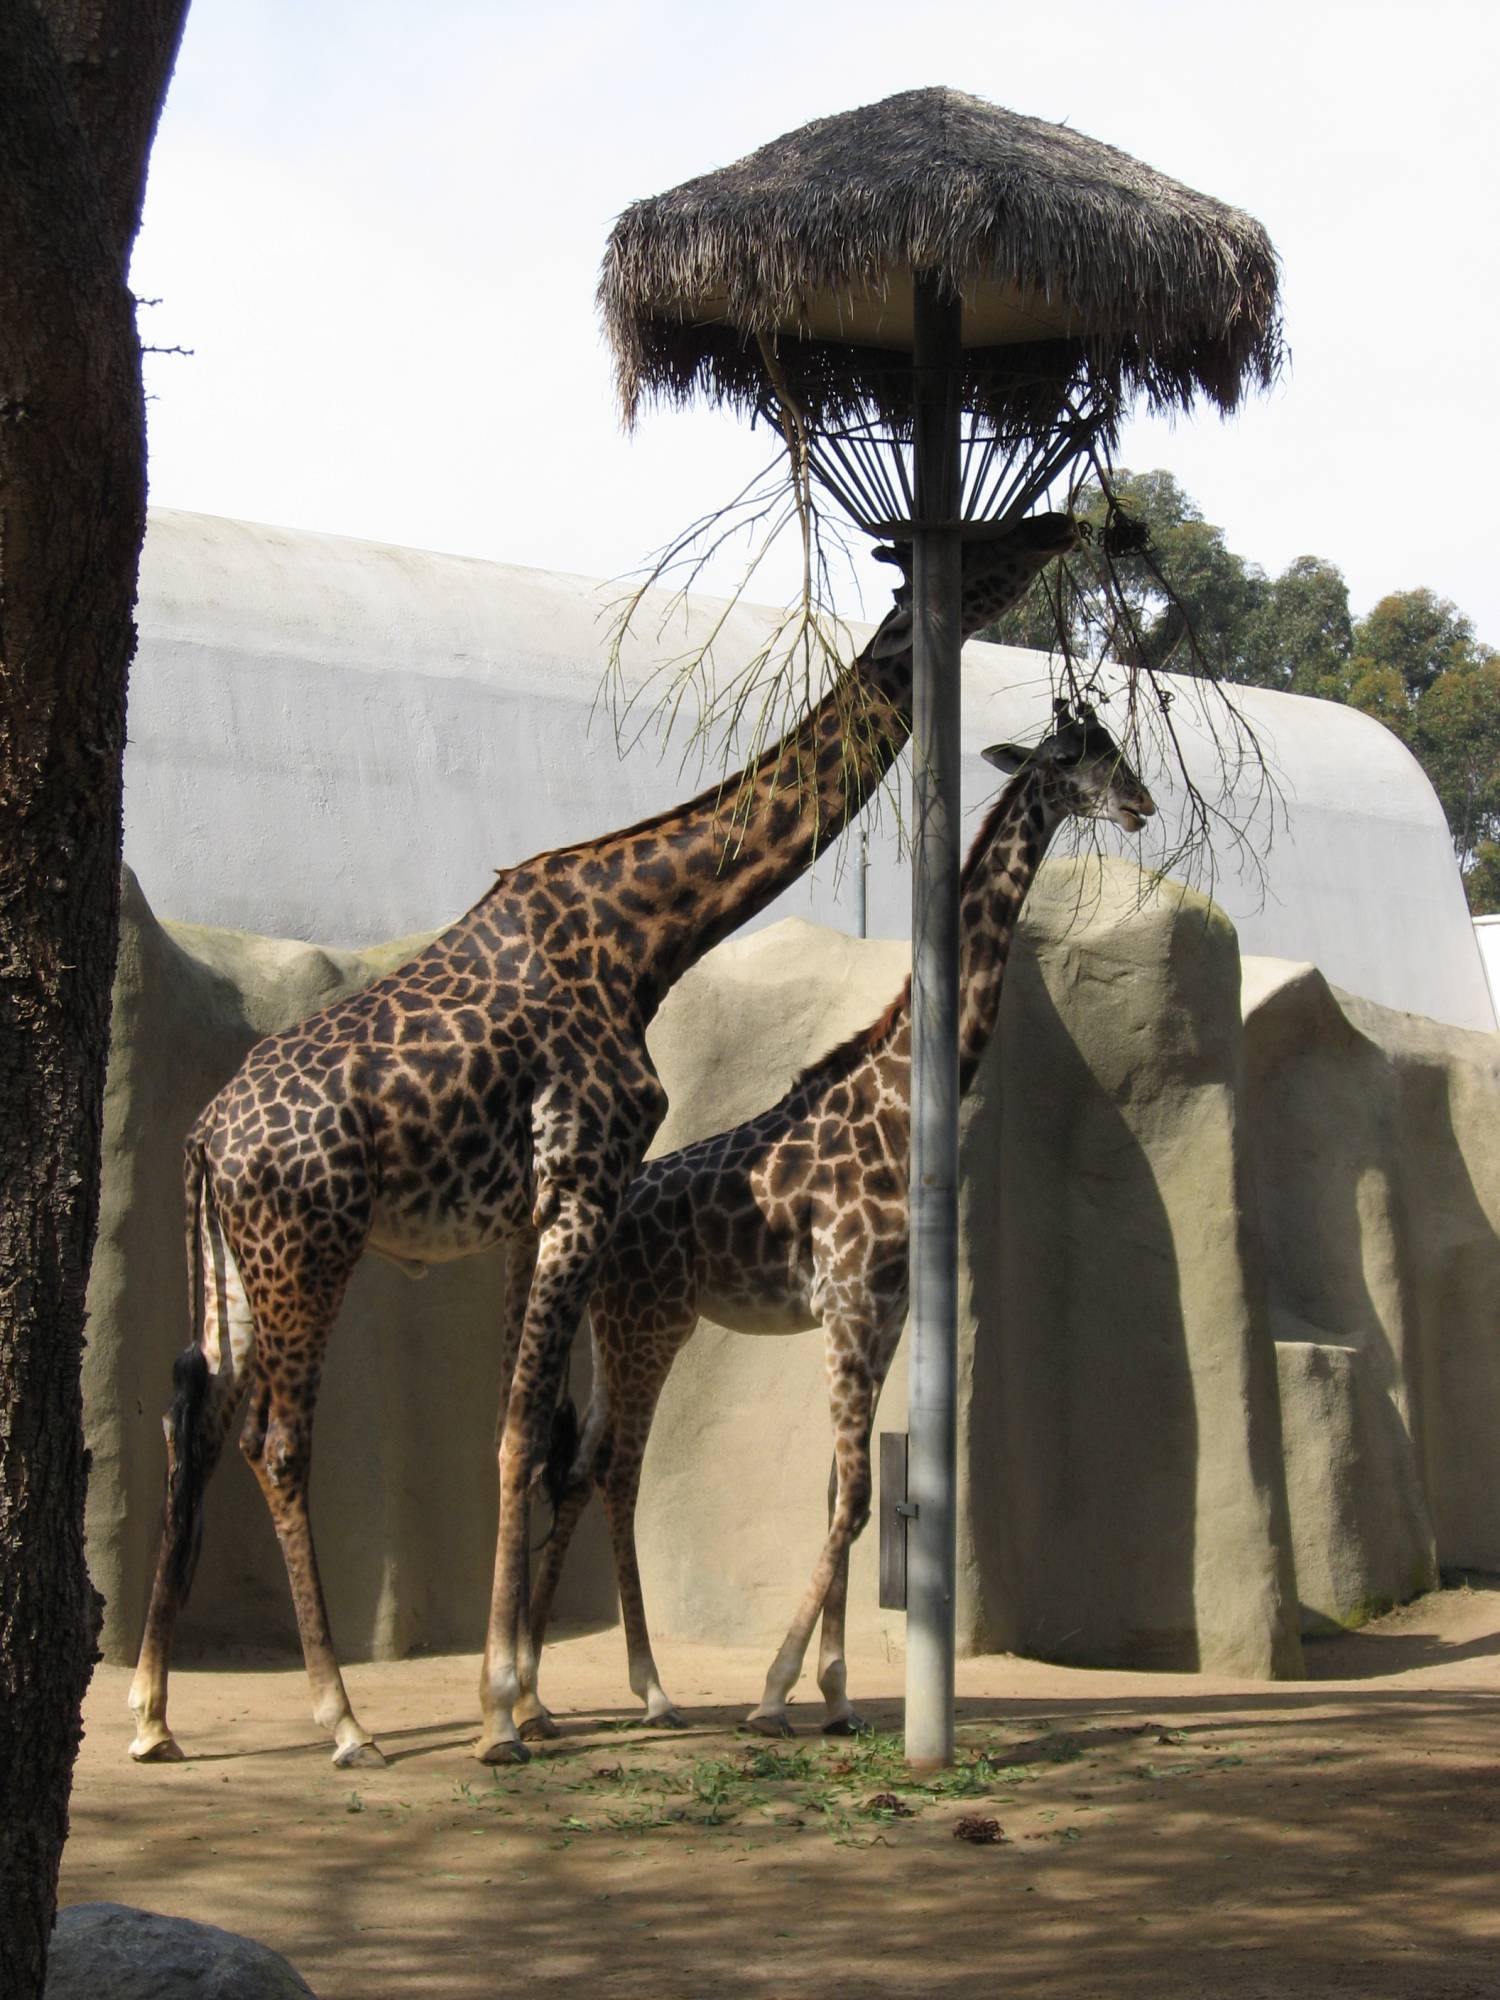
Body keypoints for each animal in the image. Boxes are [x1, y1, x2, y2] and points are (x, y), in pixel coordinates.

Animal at [123, 504, 1072, 1768]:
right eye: (985, 539)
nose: (1071, 524)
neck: (645, 934)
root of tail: (202, 1137)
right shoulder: (581, 1174)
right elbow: (529, 1432)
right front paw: (498, 1712)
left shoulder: (540, 1207)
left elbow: (536, 1428)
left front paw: (532, 1697)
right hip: (307, 1247)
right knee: (277, 1439)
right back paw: (342, 1717)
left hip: (231, 1258)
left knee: (194, 1420)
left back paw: (151, 1711)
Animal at [524, 708, 1160, 1736]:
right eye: (1074, 756)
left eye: (1115, 748)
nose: (1140, 802)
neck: (904, 1097)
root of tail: (605, 1228)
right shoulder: (850, 1305)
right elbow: (856, 1498)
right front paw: (777, 1691)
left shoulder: (884, 1318)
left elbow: (838, 1492)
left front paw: (835, 1694)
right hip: (646, 1326)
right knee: (614, 1472)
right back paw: (628, 1688)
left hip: (631, 1328)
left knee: (581, 1471)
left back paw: (555, 1686)